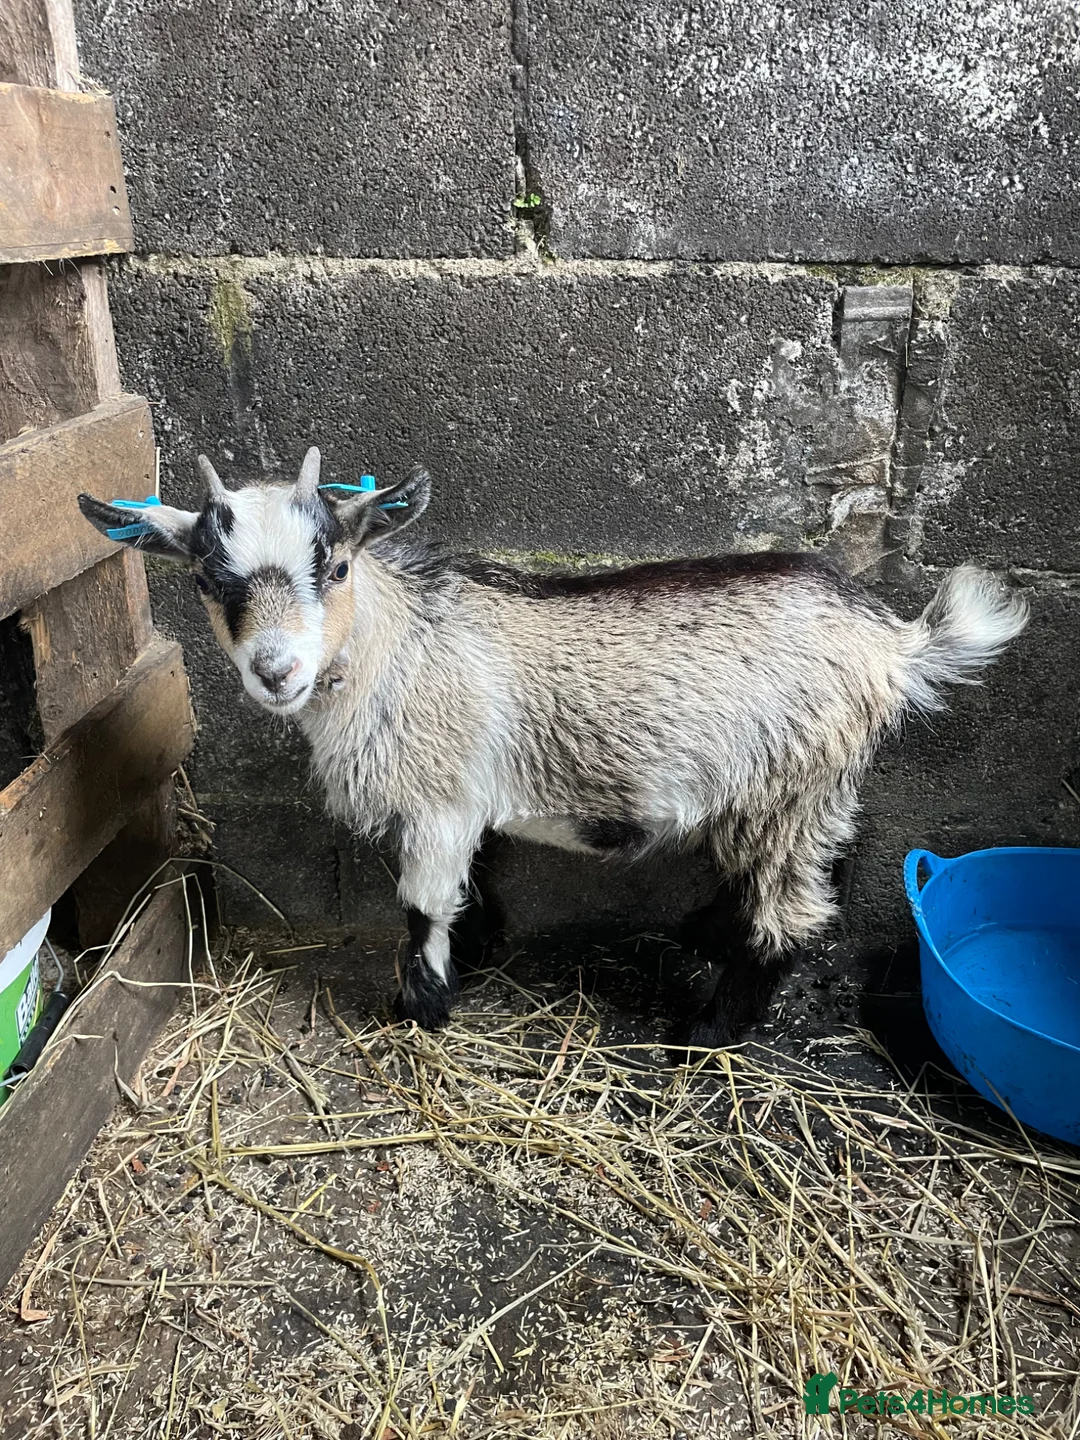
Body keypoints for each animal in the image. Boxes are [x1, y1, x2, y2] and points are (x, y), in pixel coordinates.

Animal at [79, 449, 1028, 1047]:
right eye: (209, 581)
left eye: (337, 566)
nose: (276, 671)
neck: (400, 644)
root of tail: (895, 642)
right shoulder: (465, 796)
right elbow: (469, 888)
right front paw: (473, 956)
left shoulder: (438, 799)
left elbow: (422, 905)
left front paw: (421, 1007)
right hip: (799, 788)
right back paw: (704, 936)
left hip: (792, 782)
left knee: (788, 916)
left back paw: (707, 1032)